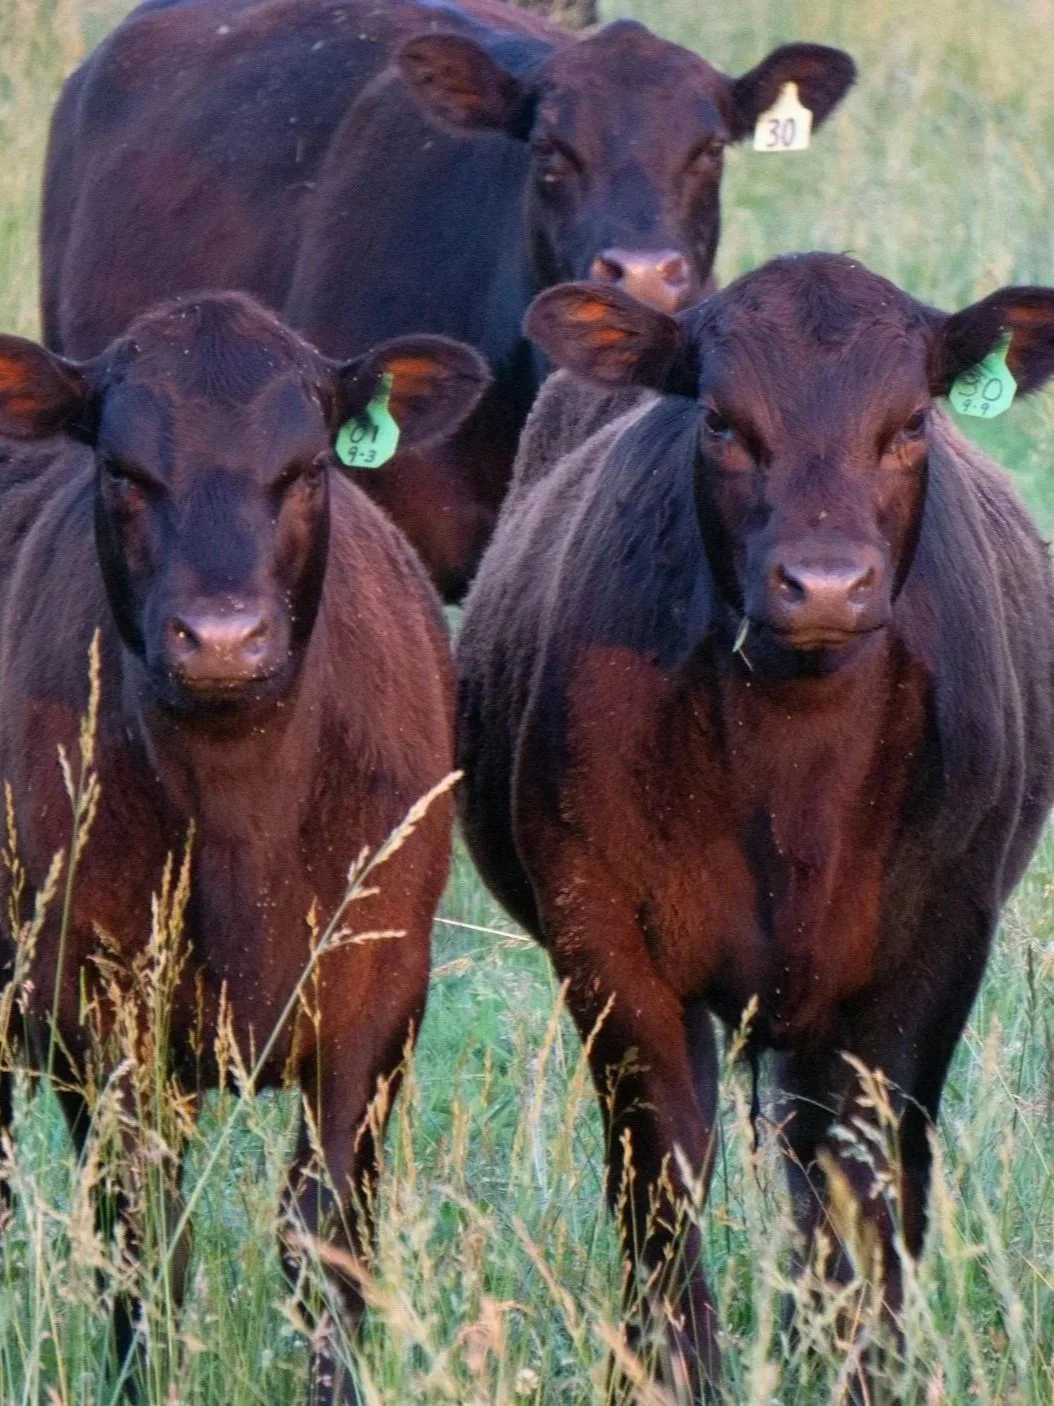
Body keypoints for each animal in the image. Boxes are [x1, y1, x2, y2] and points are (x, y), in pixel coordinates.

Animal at [0, 291, 490, 1403]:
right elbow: (141, 1244)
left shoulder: (379, 996)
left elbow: (325, 1242)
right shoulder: (91, 1003)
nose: (221, 639)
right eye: (123, 470)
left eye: (306, 468)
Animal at [455, 253, 1054, 1398]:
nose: (823, 583)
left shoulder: (936, 943)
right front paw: (674, 1365)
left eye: (910, 421)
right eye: (723, 422)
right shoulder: (608, 939)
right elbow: (661, 1174)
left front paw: (866, 1366)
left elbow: (867, 1177)